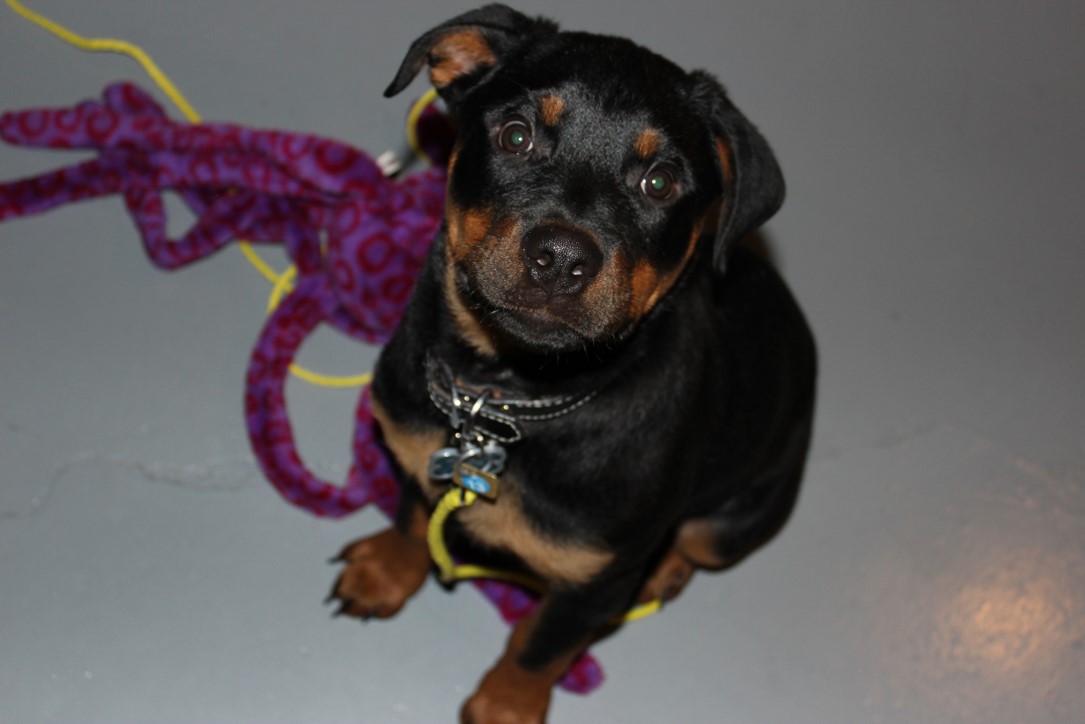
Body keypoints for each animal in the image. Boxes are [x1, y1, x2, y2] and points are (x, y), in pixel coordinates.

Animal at [329, 4, 815, 720]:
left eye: (661, 182)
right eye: (516, 135)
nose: (560, 257)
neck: (506, 396)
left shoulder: (596, 581)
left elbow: (541, 646)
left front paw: (504, 706)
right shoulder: (420, 453)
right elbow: (414, 516)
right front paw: (384, 573)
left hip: (737, 516)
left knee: (694, 543)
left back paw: (666, 569)